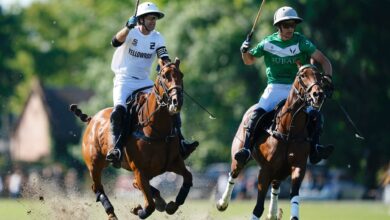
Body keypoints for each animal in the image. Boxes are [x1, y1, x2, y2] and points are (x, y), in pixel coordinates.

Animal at [71, 57, 193, 219]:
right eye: (165, 76)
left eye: (181, 75)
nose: (176, 101)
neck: (157, 131)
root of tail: (92, 119)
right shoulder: (139, 170)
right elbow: (149, 206)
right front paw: (137, 210)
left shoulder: (174, 162)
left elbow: (188, 178)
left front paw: (171, 205)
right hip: (94, 164)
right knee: (97, 188)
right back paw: (111, 213)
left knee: (137, 185)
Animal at [218, 62, 328, 219]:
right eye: (302, 75)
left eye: (320, 76)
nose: (318, 94)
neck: (289, 130)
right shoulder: (265, 171)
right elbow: (258, 207)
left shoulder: (298, 167)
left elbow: (294, 196)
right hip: (239, 156)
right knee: (234, 173)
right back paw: (222, 203)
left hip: (281, 170)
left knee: (275, 186)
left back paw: (272, 214)